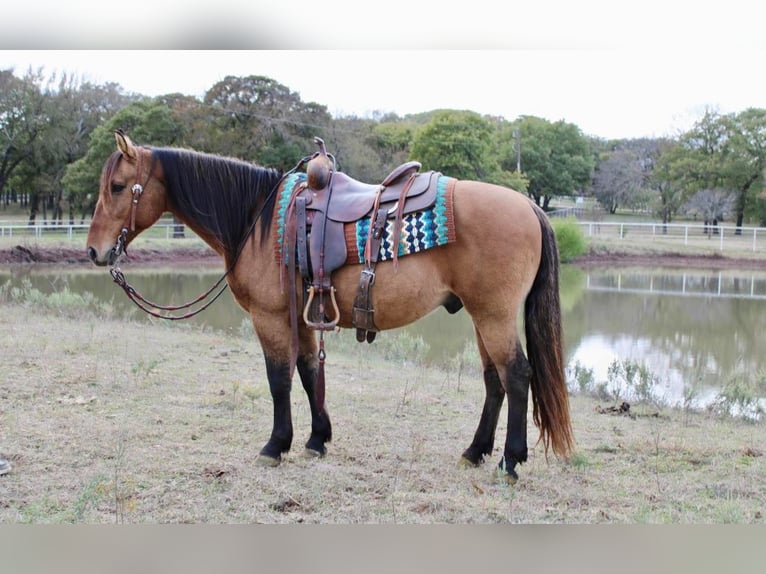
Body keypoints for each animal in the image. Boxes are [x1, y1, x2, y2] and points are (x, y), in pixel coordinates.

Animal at [87, 132, 572, 486]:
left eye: (117, 187)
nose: (94, 251)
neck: (257, 218)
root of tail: (529, 206)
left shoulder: (270, 318)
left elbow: (279, 380)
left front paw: (275, 445)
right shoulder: (301, 316)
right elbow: (307, 373)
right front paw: (317, 439)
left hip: (493, 315)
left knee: (517, 376)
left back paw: (510, 461)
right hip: (480, 315)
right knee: (494, 381)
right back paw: (475, 452)